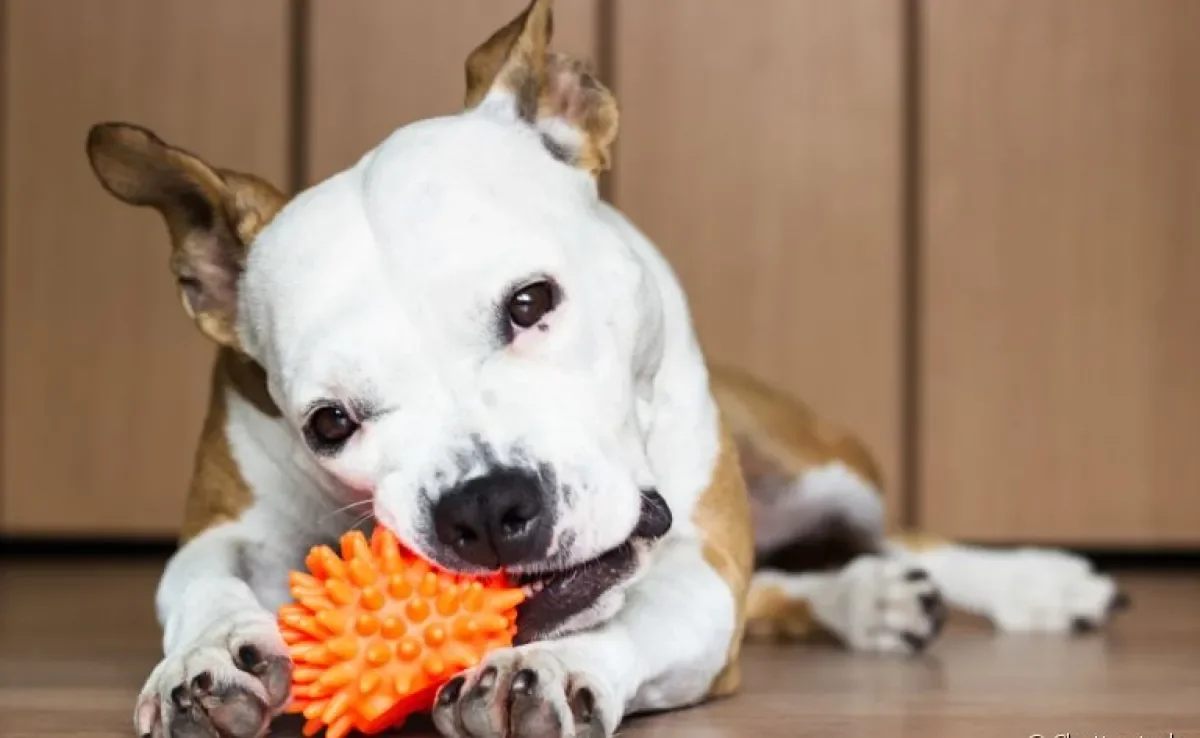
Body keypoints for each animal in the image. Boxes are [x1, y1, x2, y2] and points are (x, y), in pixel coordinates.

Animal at [84, 1, 1123, 738]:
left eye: (530, 302)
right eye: (329, 423)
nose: (485, 506)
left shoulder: (701, 571)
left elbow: (646, 617)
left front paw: (549, 668)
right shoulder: (225, 525)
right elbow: (198, 582)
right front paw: (205, 662)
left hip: (826, 468)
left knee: (894, 536)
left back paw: (1039, 585)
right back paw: (868, 601)